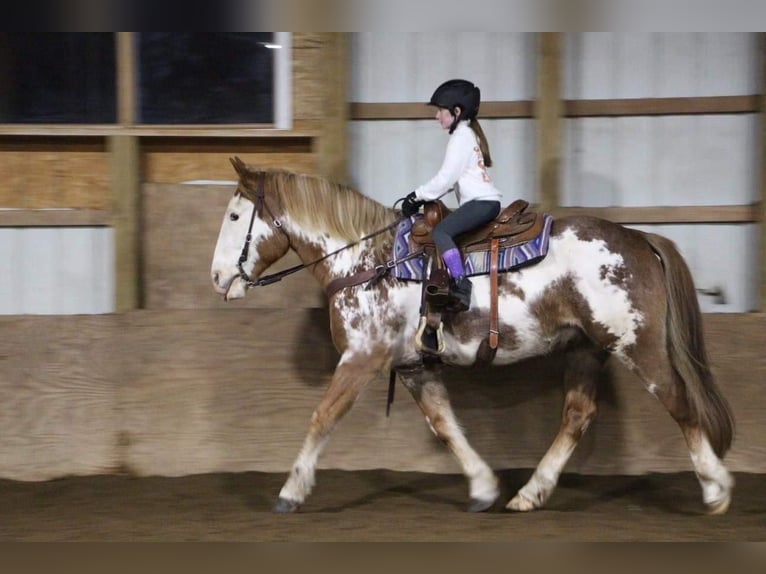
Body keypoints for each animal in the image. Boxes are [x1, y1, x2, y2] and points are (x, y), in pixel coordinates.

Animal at [212, 158, 736, 516]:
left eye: (236, 218)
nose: (218, 278)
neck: (367, 261)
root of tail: (641, 238)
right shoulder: (412, 367)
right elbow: (445, 425)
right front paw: (484, 487)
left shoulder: (364, 357)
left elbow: (323, 416)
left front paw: (290, 492)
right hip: (586, 349)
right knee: (577, 415)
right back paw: (529, 494)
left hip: (637, 344)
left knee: (678, 401)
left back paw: (715, 489)